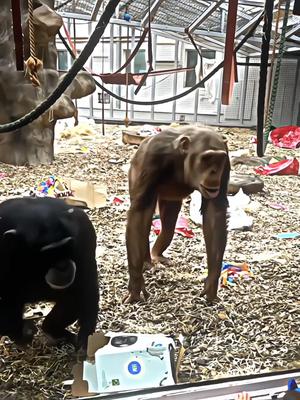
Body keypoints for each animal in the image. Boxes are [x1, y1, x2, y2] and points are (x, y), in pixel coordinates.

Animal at [0, 195, 99, 352]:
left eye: (66, 247)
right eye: (48, 253)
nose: (63, 266)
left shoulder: (84, 235)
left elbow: (86, 284)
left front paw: (86, 338)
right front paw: (23, 333)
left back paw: (53, 330)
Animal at [124, 126, 230, 304]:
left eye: (219, 160)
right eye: (207, 159)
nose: (215, 172)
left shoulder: (226, 161)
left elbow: (215, 213)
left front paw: (211, 283)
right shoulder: (152, 157)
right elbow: (139, 214)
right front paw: (136, 284)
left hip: (171, 199)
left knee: (168, 227)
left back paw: (157, 255)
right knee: (145, 218)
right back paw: (146, 262)